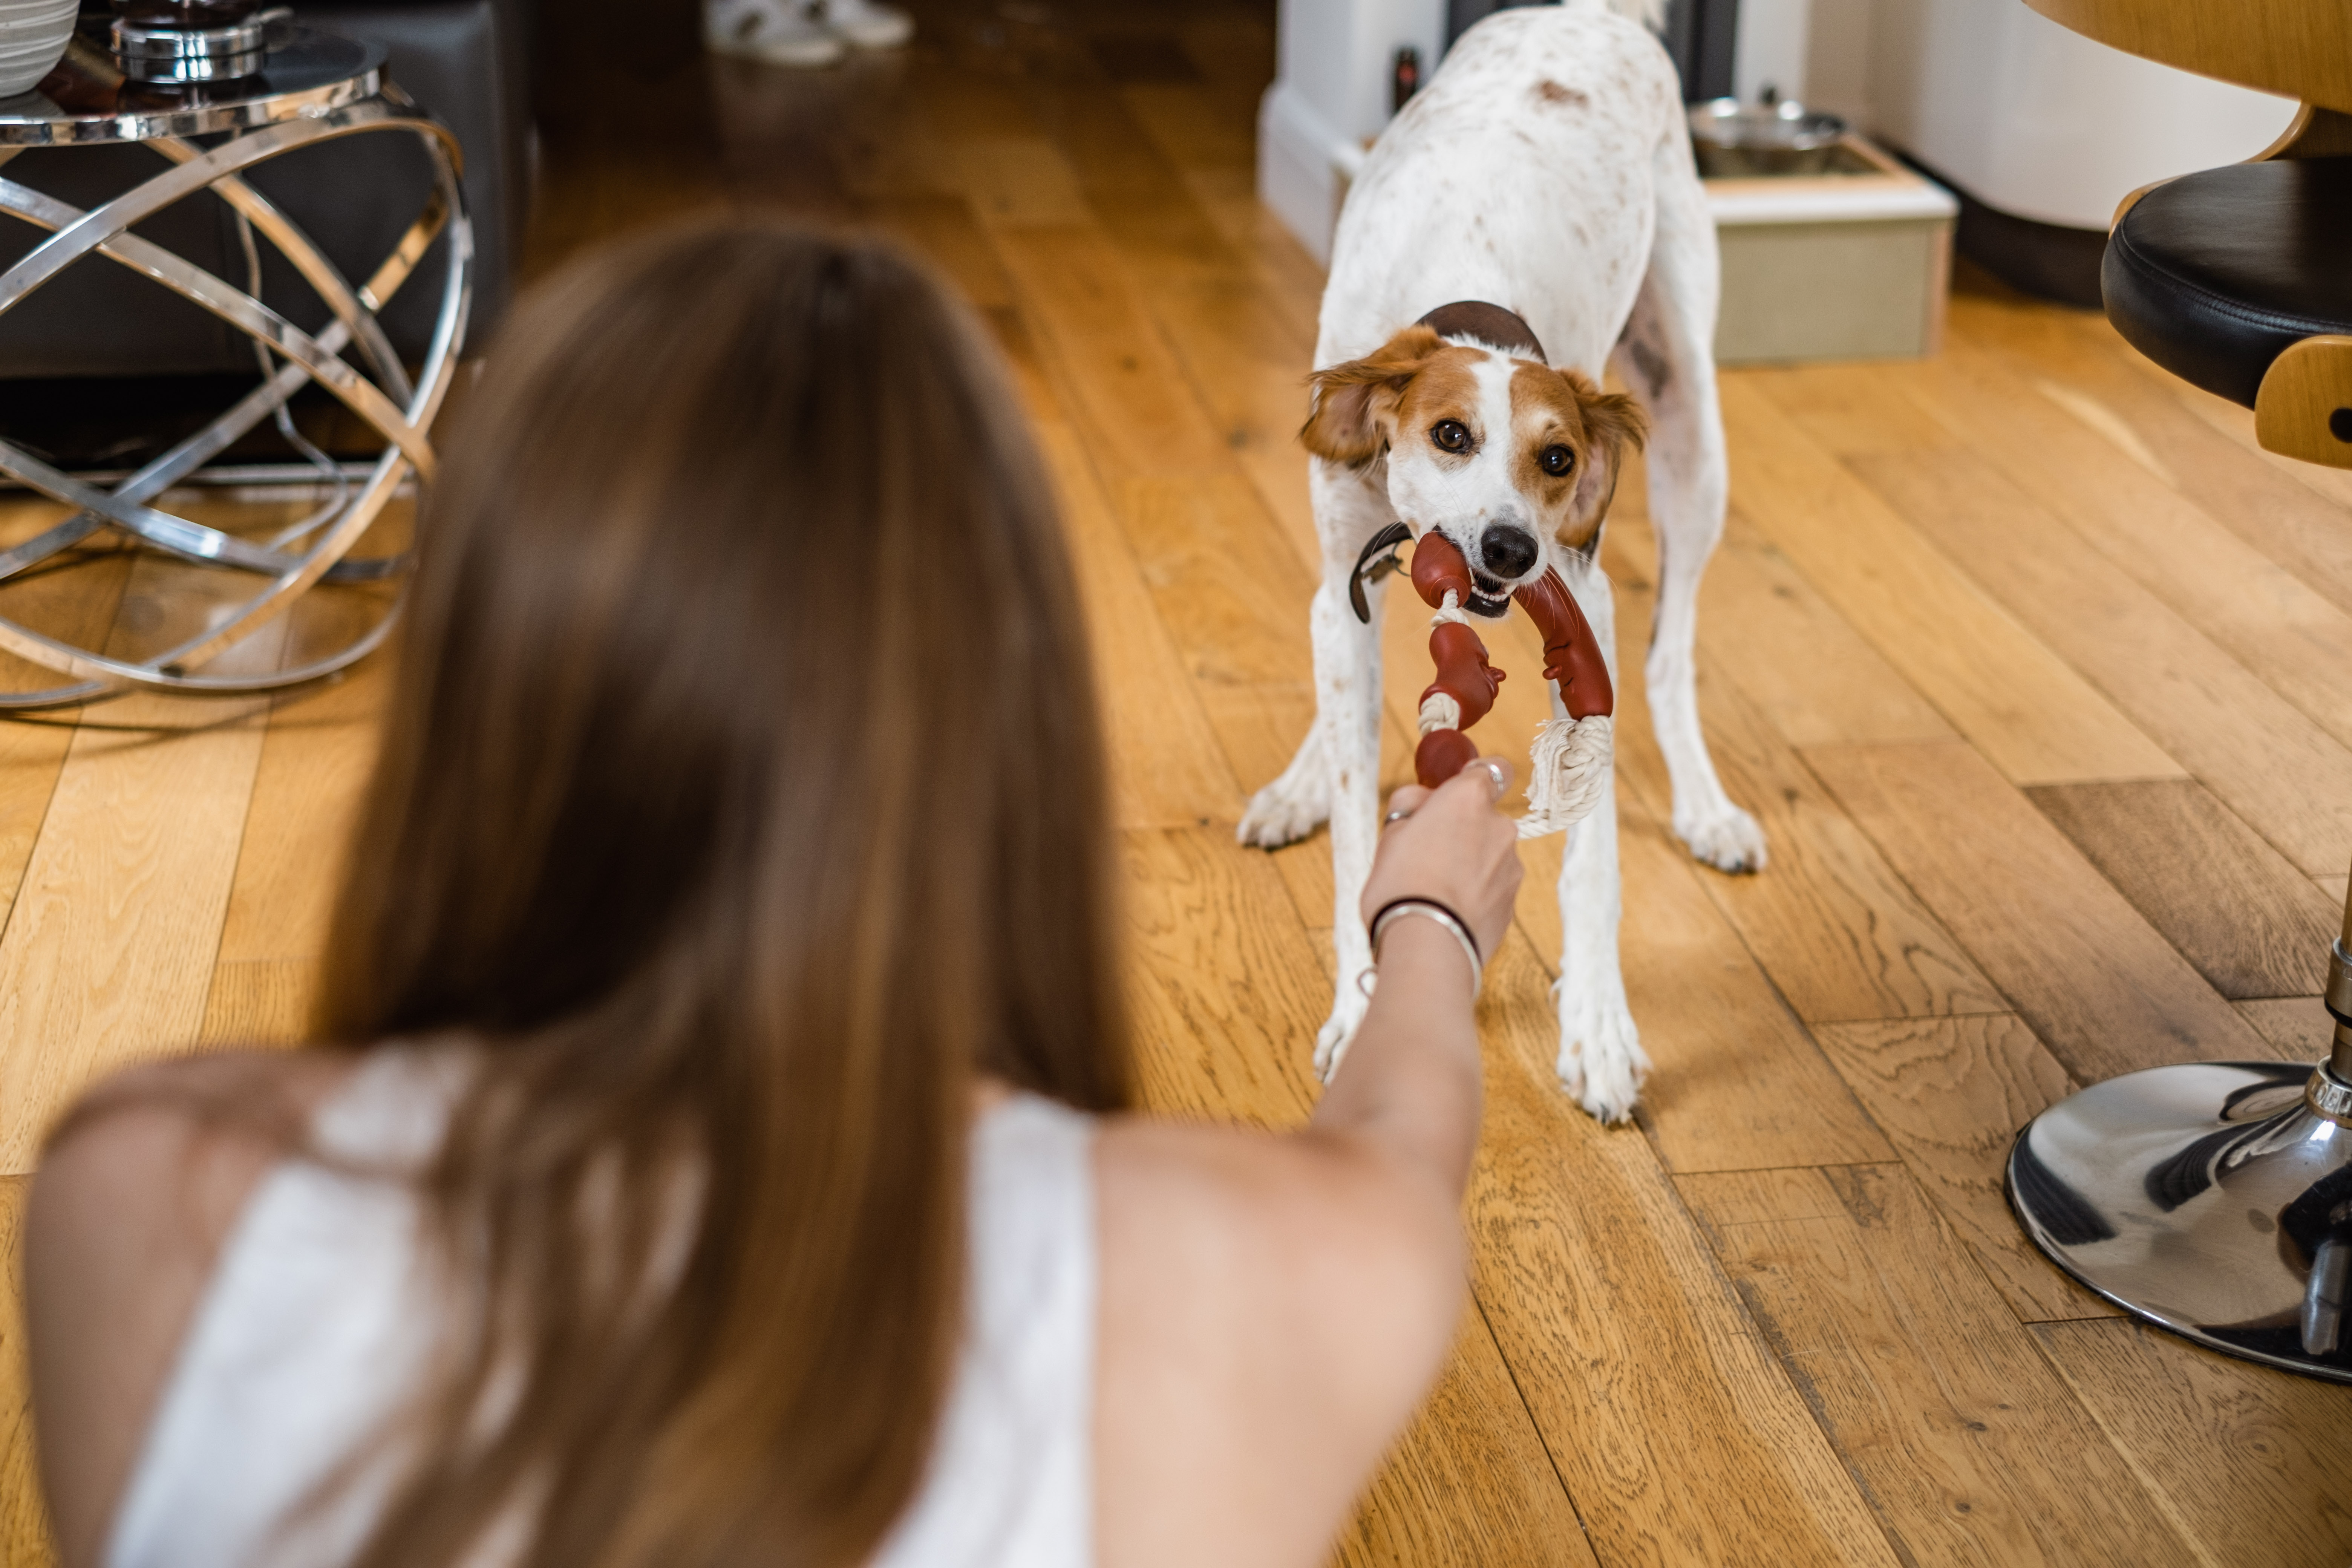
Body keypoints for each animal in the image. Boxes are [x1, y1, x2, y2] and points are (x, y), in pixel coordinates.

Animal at [1251, 3, 1769, 1128]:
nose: (1509, 548)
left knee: (1671, 656)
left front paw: (1599, 1029)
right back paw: (1295, 783)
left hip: (1692, 424)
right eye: (1449, 436)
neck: (1465, 294)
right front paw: (1361, 1005)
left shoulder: (1587, 617)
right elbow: (1357, 827)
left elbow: (1594, 853)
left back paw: (1705, 808)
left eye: (1560, 458)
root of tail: (1591, 14)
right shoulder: (1346, 590)